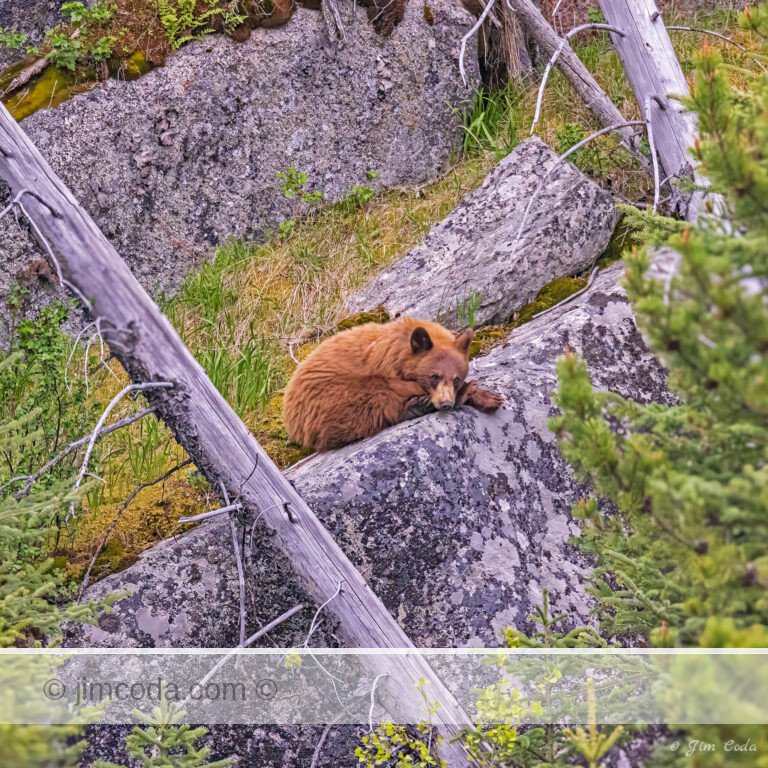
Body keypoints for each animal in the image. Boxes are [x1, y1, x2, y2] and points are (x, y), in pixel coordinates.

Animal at [282, 316, 504, 452]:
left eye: (455, 378)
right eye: (434, 376)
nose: (446, 403)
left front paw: (490, 397)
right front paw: (472, 393)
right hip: (327, 397)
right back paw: (419, 405)